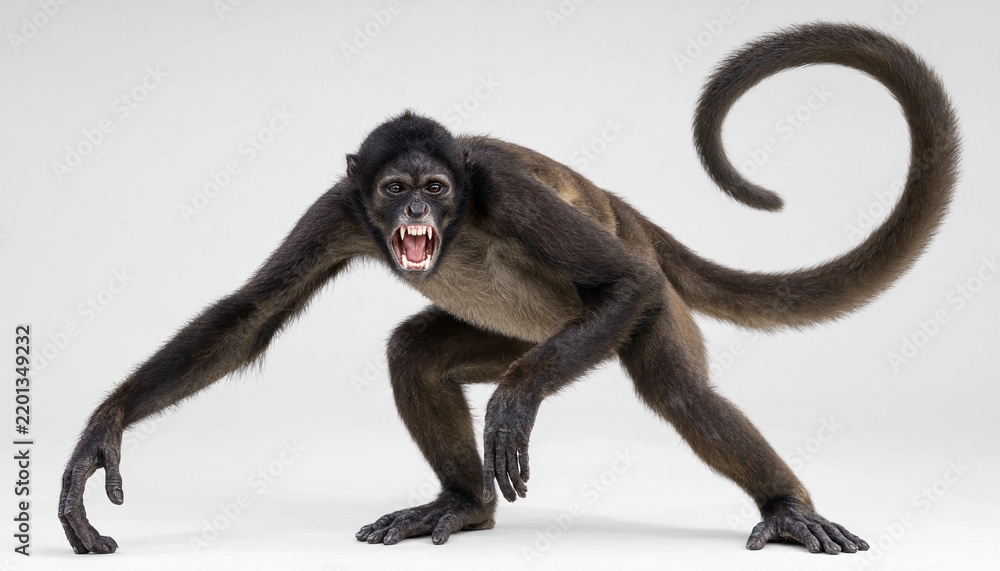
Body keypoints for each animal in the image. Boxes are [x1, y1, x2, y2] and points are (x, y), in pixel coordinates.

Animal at [59, 23, 959, 555]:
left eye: (434, 187)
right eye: (393, 188)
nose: (416, 210)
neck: (455, 213)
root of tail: (631, 212)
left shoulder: (504, 192)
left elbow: (622, 283)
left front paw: (514, 406)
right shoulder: (339, 208)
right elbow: (247, 319)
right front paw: (100, 435)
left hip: (606, 323)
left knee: (672, 374)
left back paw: (785, 504)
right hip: (537, 335)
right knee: (413, 350)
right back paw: (465, 503)